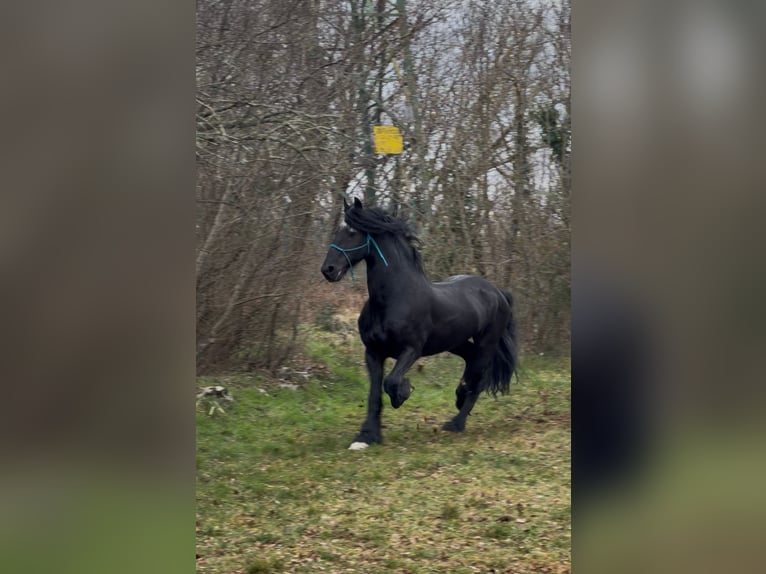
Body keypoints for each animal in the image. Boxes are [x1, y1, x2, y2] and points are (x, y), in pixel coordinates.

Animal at [321, 197, 518, 450]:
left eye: (353, 232)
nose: (328, 270)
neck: (393, 298)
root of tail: (499, 293)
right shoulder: (373, 352)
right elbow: (374, 394)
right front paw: (366, 436)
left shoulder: (411, 350)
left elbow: (391, 382)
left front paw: (403, 394)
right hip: (456, 342)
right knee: (471, 363)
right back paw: (459, 395)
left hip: (487, 343)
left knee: (479, 379)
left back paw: (456, 423)